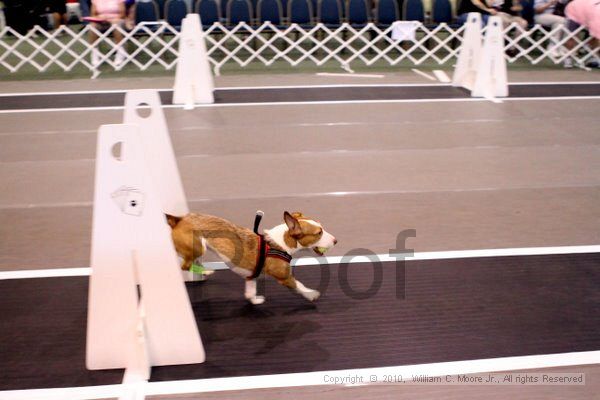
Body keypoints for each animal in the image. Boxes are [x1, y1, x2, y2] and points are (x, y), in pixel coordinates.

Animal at [165, 212, 338, 304]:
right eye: (318, 233)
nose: (336, 240)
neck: (279, 244)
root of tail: (178, 219)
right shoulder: (285, 277)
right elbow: (300, 285)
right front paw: (311, 294)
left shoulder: (251, 277)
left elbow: (249, 293)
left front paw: (255, 300)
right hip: (199, 247)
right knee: (184, 265)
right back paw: (205, 271)